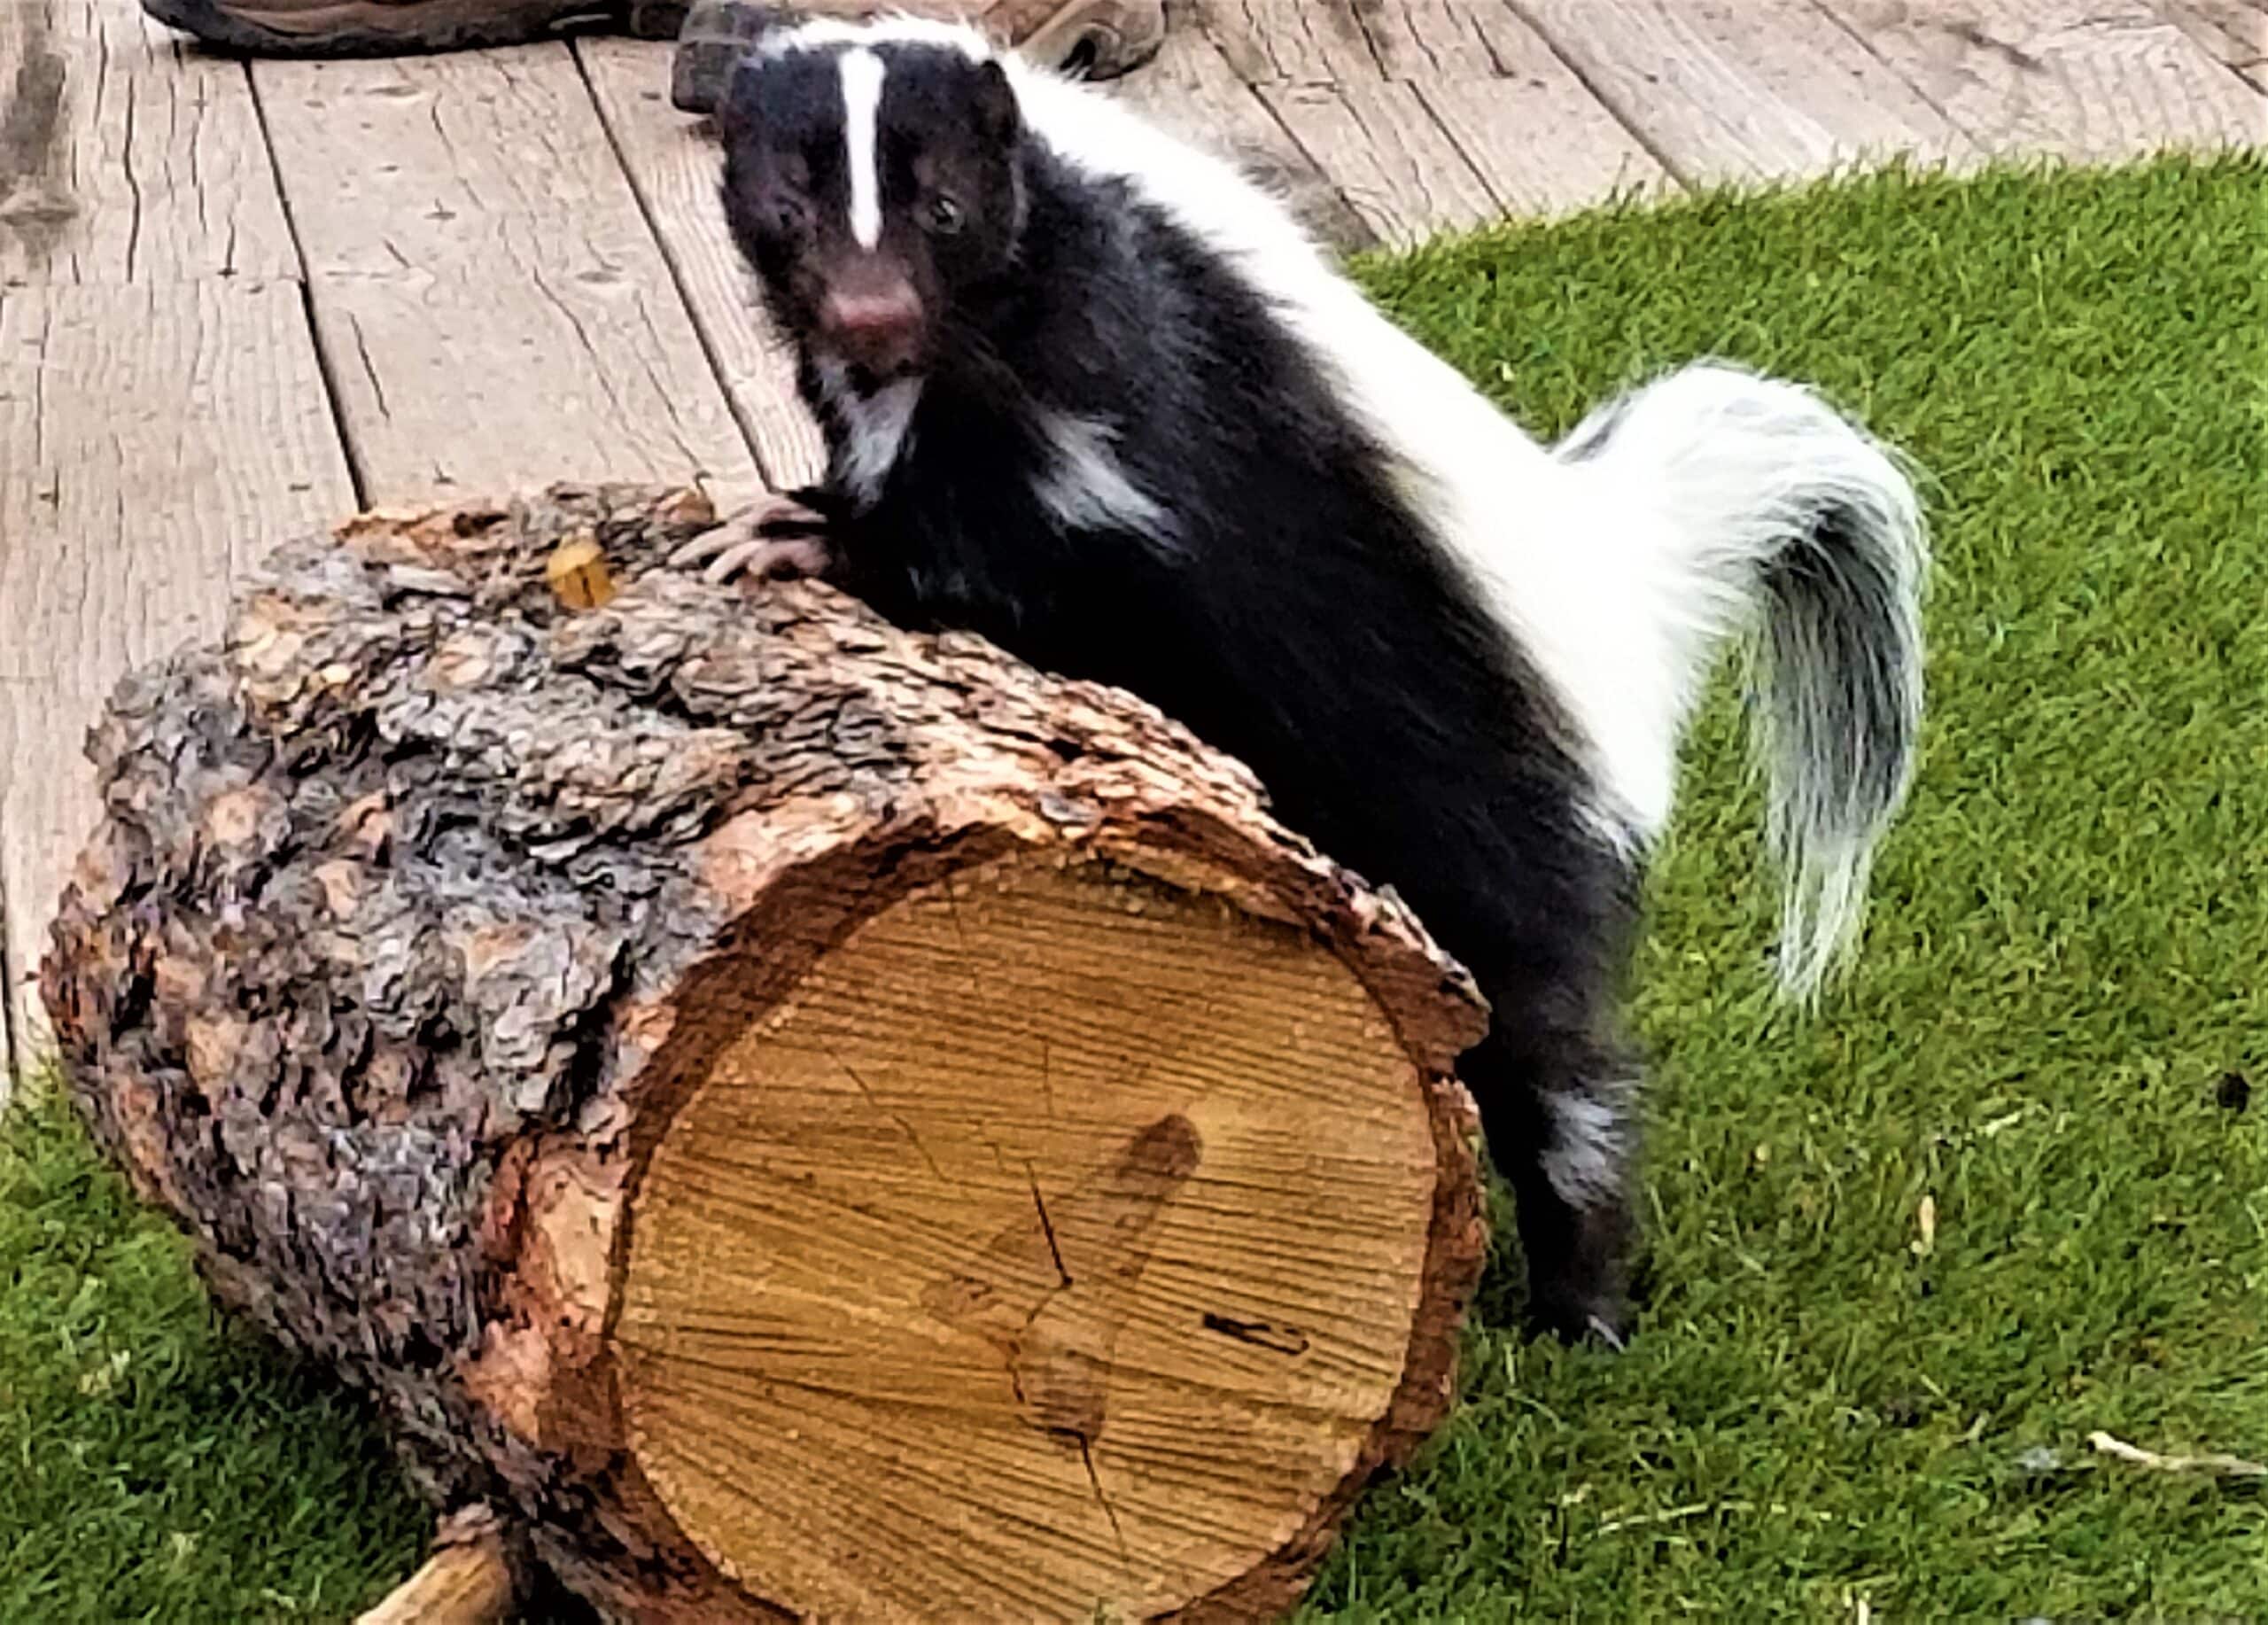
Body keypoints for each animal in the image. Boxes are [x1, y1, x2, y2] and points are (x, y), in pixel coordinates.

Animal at [680, 15, 1922, 1343]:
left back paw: (1578, 1309)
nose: (869, 314)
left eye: (948, 210)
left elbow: (1031, 558)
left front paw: (817, 538)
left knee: (1556, 1070)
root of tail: (1627, 587)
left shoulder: (1124, 385)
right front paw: (806, 508)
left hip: (1500, 819)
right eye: (790, 208)